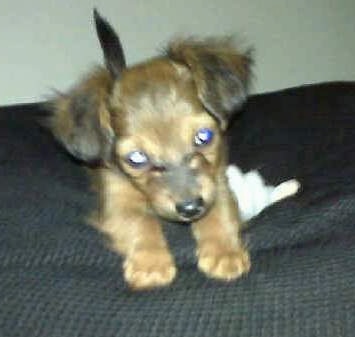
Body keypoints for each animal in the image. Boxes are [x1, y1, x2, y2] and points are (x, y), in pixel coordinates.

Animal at [48, 9, 253, 288]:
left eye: (204, 136)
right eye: (137, 158)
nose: (191, 208)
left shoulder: (216, 181)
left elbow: (219, 212)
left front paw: (224, 252)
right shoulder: (116, 198)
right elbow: (140, 221)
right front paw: (151, 263)